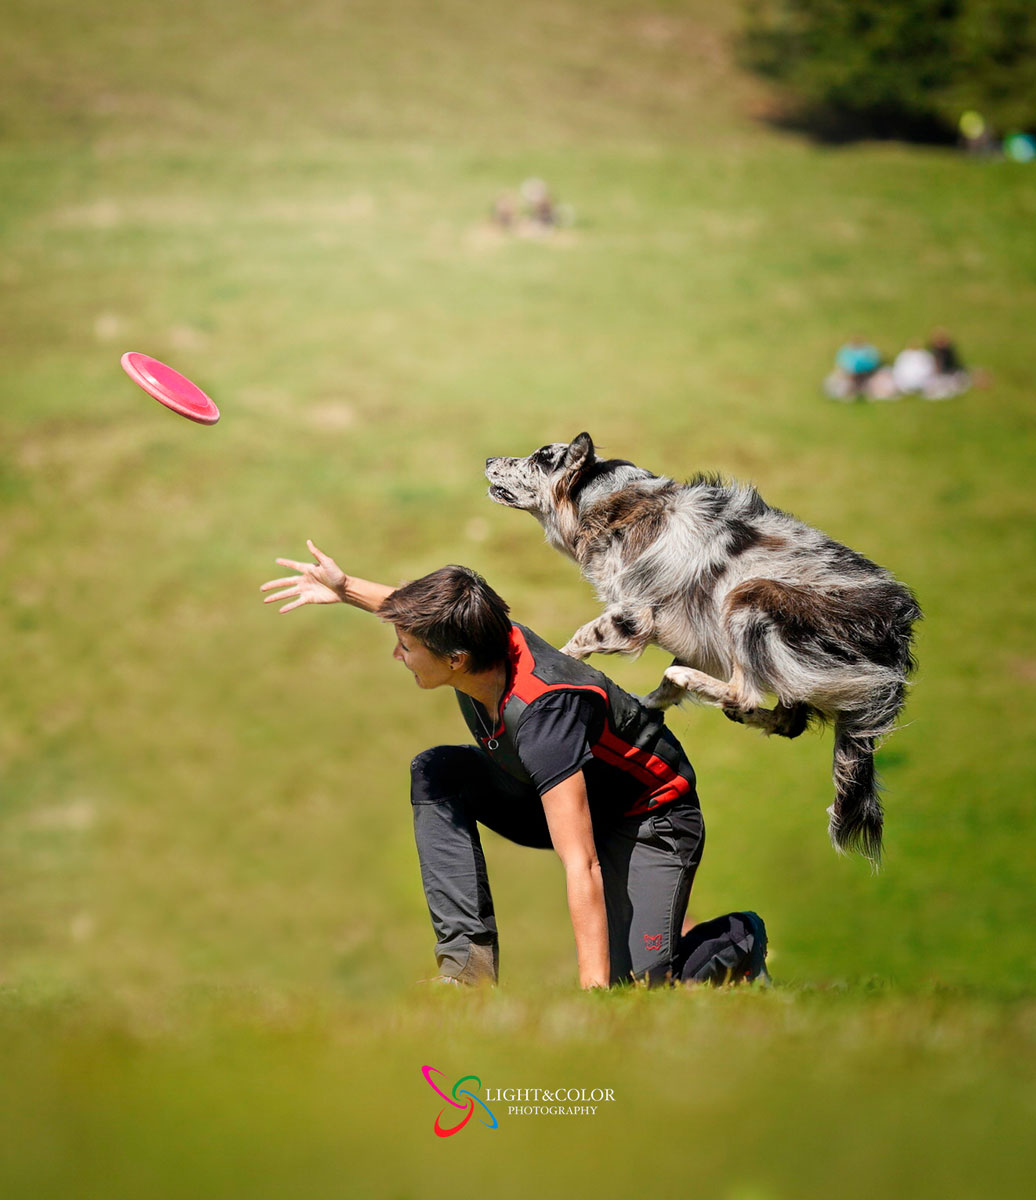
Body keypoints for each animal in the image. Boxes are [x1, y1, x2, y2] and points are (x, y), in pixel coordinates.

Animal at [485, 433, 921, 863]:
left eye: (540, 458)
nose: (489, 459)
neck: (603, 500)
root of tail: (897, 630)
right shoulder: (695, 633)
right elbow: (661, 693)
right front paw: (644, 705)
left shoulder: (634, 611)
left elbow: (580, 640)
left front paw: (543, 666)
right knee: (787, 720)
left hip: (750, 598)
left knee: (744, 691)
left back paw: (694, 681)